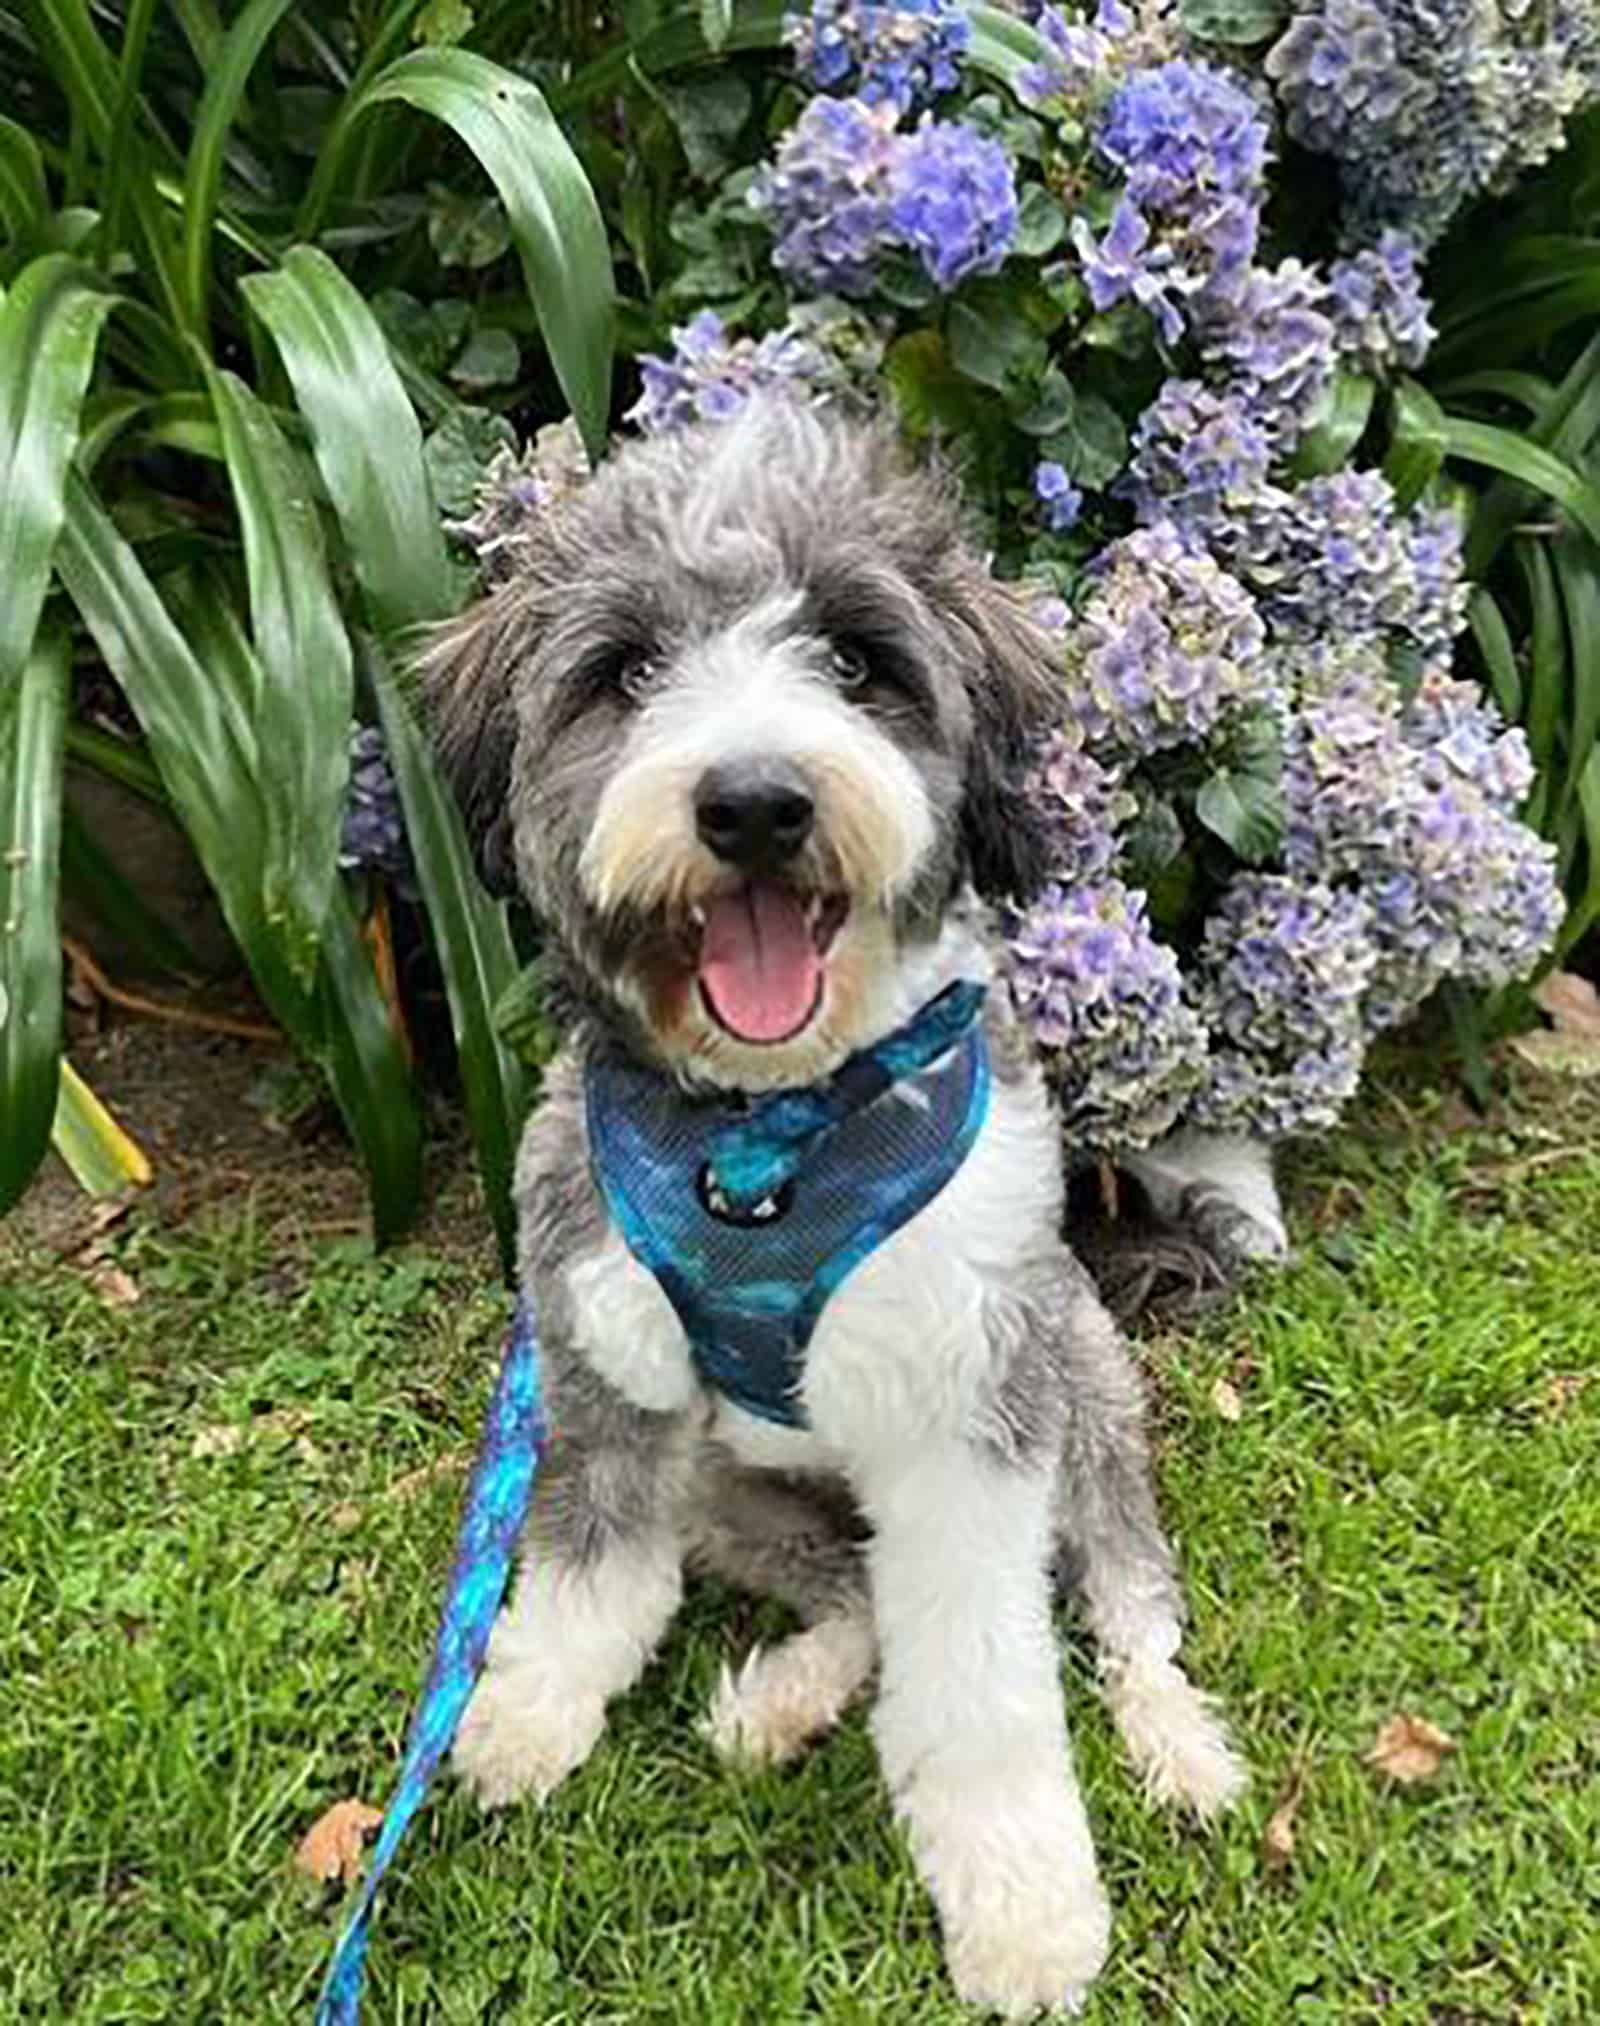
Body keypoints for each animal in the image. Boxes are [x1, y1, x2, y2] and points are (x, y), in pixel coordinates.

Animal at [423, 399, 1255, 2026]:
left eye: (858, 660)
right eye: (627, 671)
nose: (752, 802)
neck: (766, 1134)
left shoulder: (971, 1422)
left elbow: (988, 1679)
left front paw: (1025, 1904)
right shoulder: (599, 1379)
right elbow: (583, 1574)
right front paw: (521, 1718)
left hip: (1083, 1392)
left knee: (1130, 1613)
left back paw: (1180, 1748)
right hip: (726, 1489)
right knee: (857, 1597)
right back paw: (783, 1700)